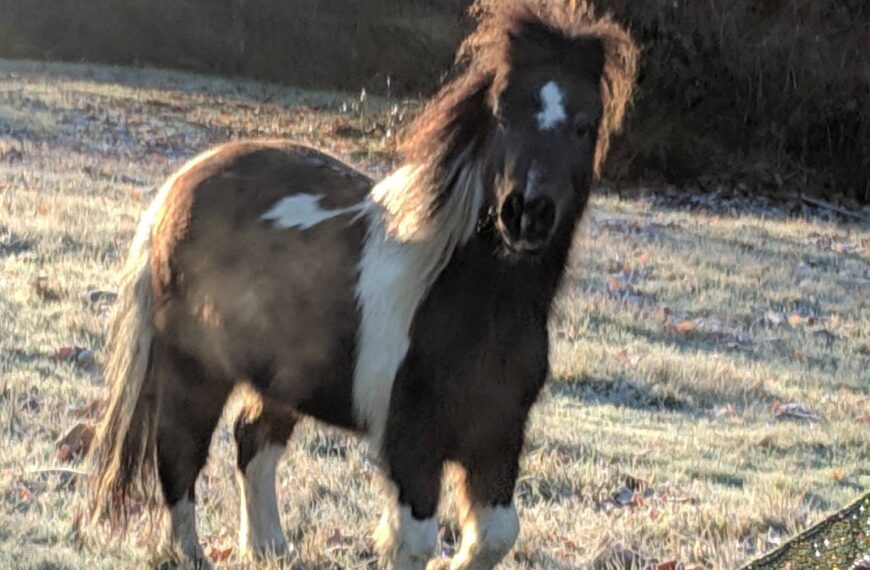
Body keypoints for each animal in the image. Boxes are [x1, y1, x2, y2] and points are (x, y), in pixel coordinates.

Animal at [86, 2, 638, 568]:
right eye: (503, 113)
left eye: (585, 125)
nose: (525, 214)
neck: (474, 305)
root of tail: (181, 183)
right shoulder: (411, 443)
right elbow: (414, 541)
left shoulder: (498, 440)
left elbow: (497, 536)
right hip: (194, 369)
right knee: (179, 456)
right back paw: (194, 553)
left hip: (281, 378)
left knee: (251, 440)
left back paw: (269, 546)